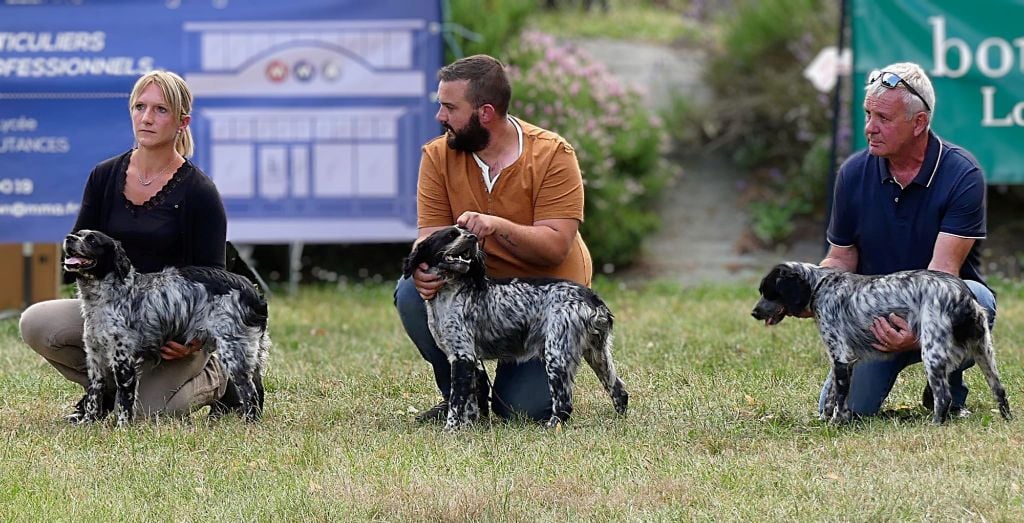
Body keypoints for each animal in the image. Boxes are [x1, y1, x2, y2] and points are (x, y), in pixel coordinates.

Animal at [59, 229, 268, 425]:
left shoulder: (124, 358)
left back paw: (248, 422)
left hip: (233, 351)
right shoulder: (95, 356)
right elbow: (94, 394)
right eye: (78, 234)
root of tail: (253, 291)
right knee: (258, 388)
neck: (105, 296)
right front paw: (87, 422)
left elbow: (124, 400)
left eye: (92, 240)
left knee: (249, 391)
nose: (69, 238)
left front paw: (122, 427)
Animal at [403, 227, 626, 431]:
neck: (453, 290)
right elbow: (471, 402)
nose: (473, 238)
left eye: (465, 232)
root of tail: (593, 300)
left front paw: (450, 430)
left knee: (564, 403)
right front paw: (469, 427)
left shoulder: (462, 356)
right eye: (451, 235)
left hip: (557, 355)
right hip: (597, 354)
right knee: (619, 390)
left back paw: (550, 428)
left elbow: (457, 403)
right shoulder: (470, 360)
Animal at [749, 262, 1011, 425]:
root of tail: (963, 297)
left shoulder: (840, 356)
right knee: (999, 389)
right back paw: (1007, 419)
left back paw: (936, 424)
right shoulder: (842, 360)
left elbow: (840, 399)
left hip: (933, 354)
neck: (819, 286)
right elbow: (832, 396)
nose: (754, 313)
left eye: (770, 293)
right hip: (985, 351)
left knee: (943, 396)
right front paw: (824, 420)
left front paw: (835, 423)